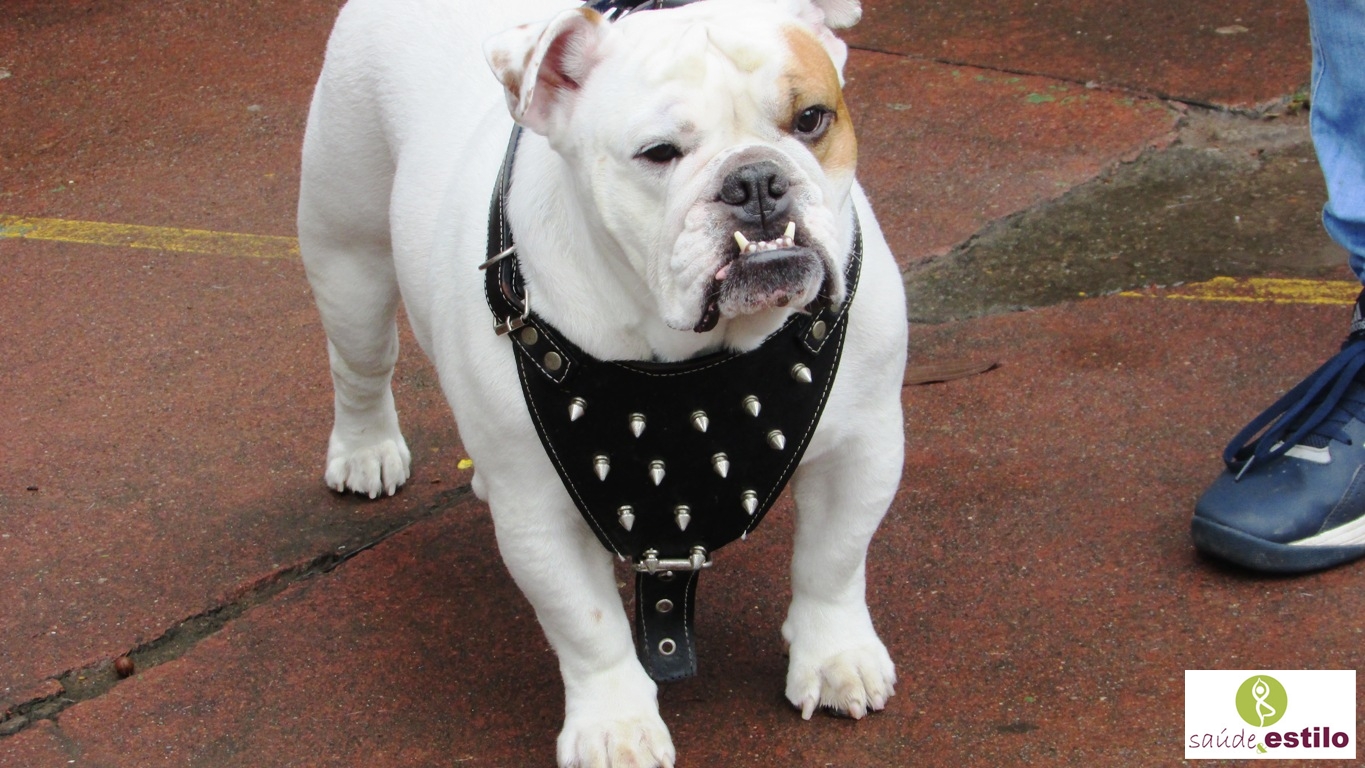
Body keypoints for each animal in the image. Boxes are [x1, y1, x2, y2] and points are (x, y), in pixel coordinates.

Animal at [298, 0, 907, 765]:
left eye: (811, 120)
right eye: (658, 154)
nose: (756, 181)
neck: (692, 343)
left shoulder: (862, 446)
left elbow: (833, 556)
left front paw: (834, 657)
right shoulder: (540, 516)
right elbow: (585, 624)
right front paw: (615, 724)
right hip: (347, 254)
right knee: (360, 362)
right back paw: (364, 450)